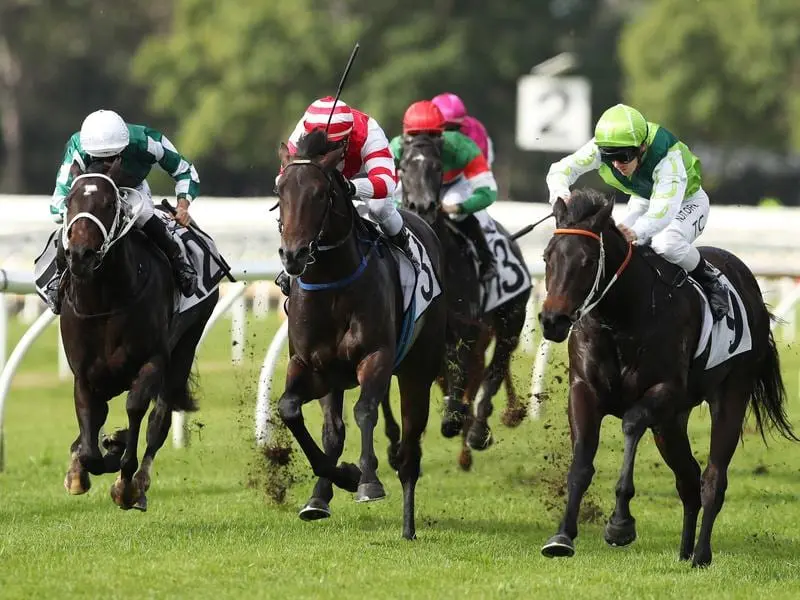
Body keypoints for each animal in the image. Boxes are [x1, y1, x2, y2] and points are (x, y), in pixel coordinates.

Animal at [58, 158, 219, 510]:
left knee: (160, 419)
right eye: (68, 202)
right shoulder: (84, 375)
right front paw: (88, 461)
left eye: (109, 203)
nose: (80, 255)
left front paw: (124, 479)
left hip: (186, 344)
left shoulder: (153, 360)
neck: (105, 302)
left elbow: (135, 409)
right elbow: (89, 443)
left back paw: (138, 480)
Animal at [276, 127, 450, 540]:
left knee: (410, 448)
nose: (292, 255)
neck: (332, 282)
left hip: (417, 372)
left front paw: (367, 479)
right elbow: (291, 411)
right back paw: (320, 497)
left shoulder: (377, 357)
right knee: (333, 430)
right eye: (280, 190)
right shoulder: (310, 366)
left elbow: (366, 411)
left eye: (319, 194)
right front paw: (341, 479)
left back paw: (408, 525)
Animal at [390, 134, 528, 472]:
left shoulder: (467, 328)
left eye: (438, 166)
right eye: (403, 166)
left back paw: (479, 429)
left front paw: (457, 420)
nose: (423, 206)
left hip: (510, 323)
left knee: (494, 370)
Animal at [536, 189, 792, 568]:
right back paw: (685, 551)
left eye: (586, 261)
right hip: (671, 423)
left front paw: (620, 524)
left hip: (731, 393)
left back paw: (701, 554)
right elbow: (581, 462)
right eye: (547, 257)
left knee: (712, 478)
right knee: (688, 479)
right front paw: (562, 536)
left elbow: (630, 424)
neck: (623, 316)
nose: (553, 320)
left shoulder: (664, 391)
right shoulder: (584, 391)